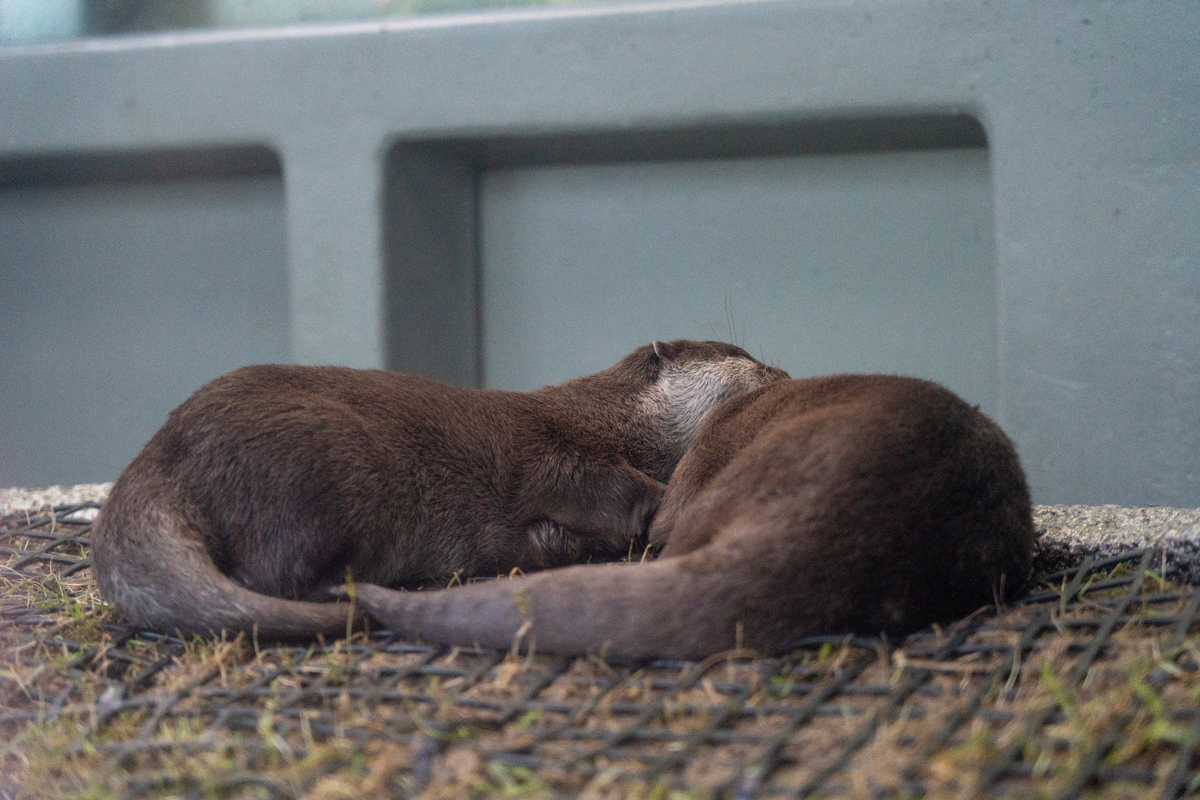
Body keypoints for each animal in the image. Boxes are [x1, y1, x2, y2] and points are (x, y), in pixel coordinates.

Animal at [93, 340, 787, 642]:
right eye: (746, 356)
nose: (782, 369)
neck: (605, 417)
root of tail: (162, 454)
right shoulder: (544, 446)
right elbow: (591, 481)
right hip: (316, 462)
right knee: (270, 571)